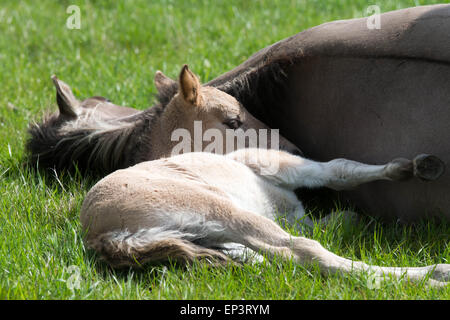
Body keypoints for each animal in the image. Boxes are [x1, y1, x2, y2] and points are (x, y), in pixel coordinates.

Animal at [82, 149, 448, 286]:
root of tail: (101, 235)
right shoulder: (277, 163)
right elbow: (339, 170)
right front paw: (417, 167)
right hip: (217, 208)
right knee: (305, 250)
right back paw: (433, 275)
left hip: (209, 239)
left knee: (274, 259)